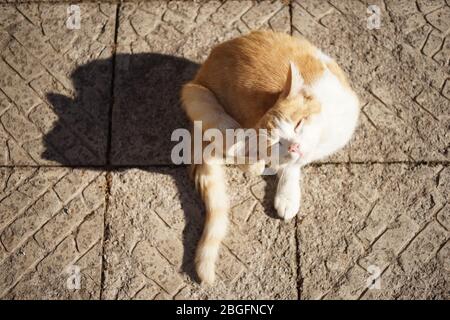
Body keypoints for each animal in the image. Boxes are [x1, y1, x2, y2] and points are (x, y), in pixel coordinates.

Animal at [179, 30, 358, 284]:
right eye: (277, 143)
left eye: (299, 123)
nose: (294, 147)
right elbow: (286, 167)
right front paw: (287, 193)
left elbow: (292, 165)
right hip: (196, 96)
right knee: (232, 150)